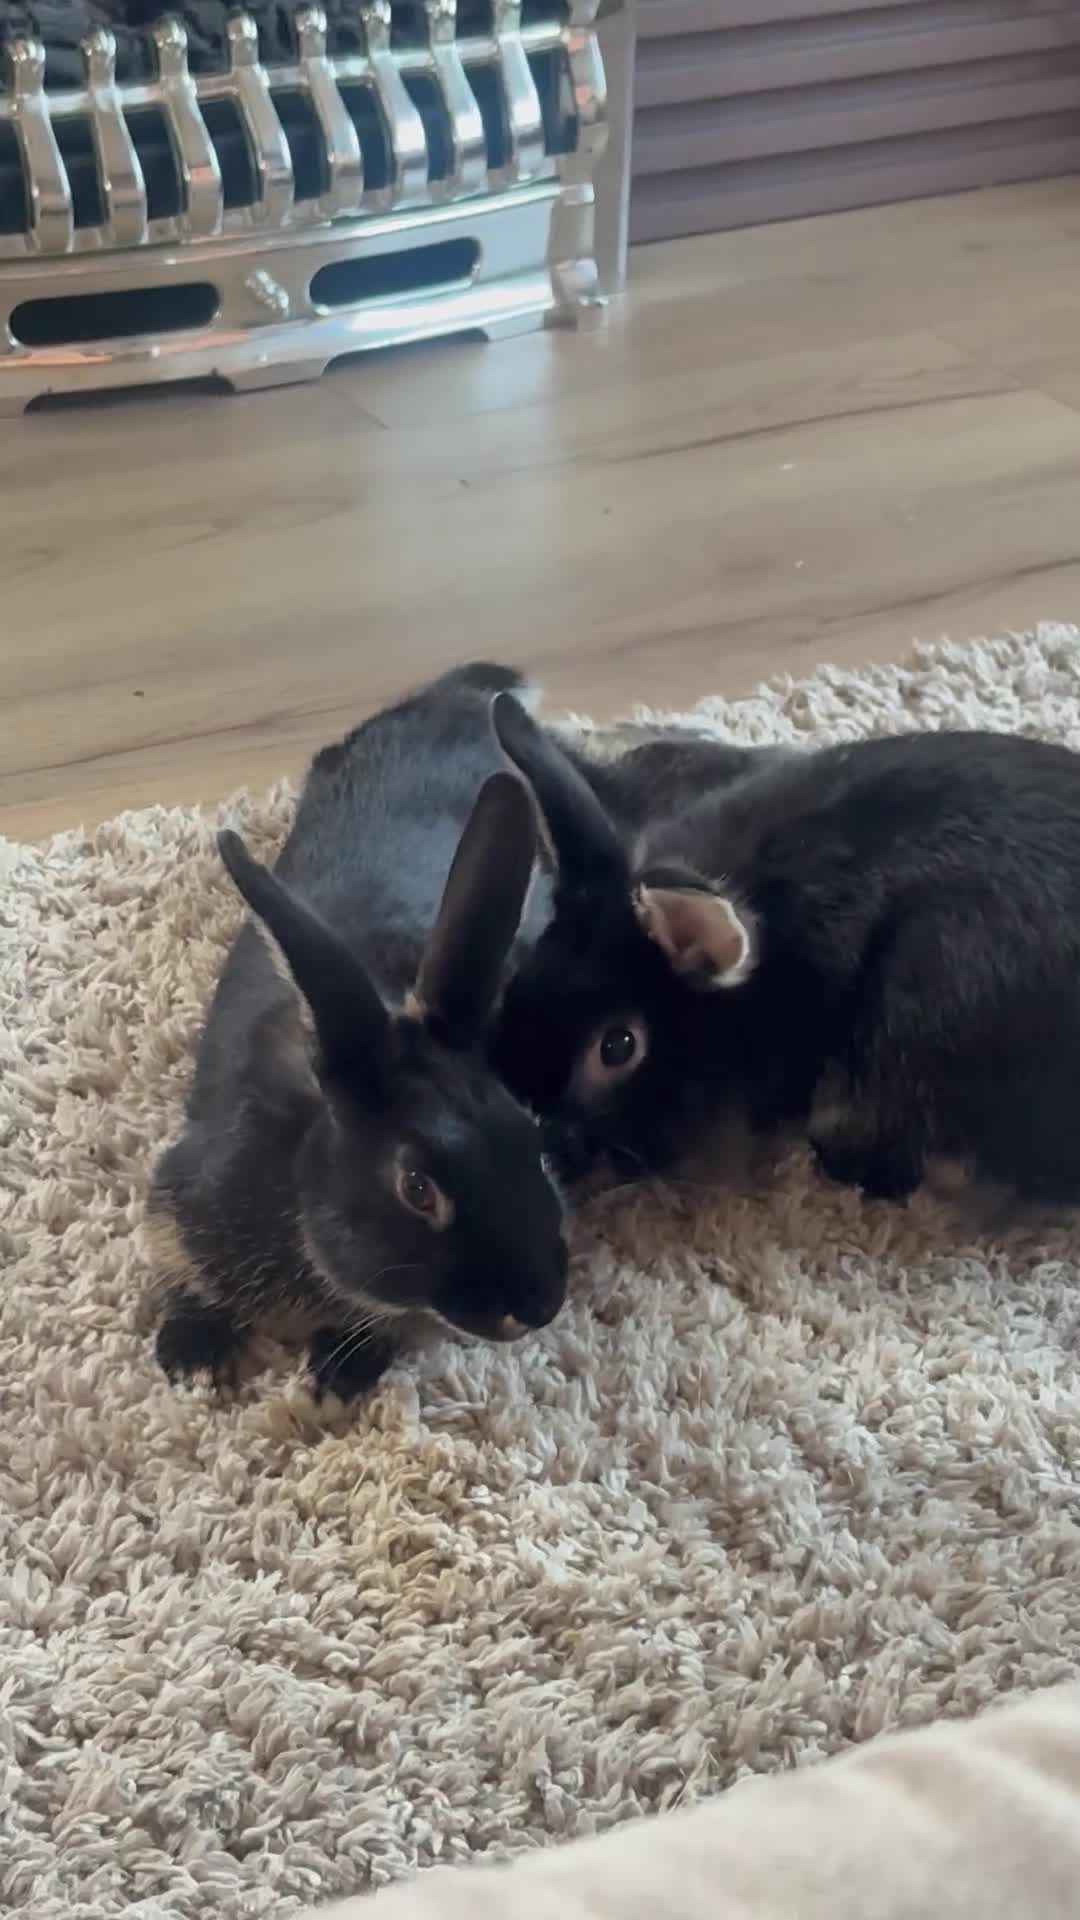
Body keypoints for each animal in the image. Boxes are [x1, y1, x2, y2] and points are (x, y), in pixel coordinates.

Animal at [145, 663, 570, 1404]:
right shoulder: (183, 1192)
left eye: (534, 1139)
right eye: (417, 1188)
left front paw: (338, 1372)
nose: (540, 1304)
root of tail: (453, 701)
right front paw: (191, 1355)